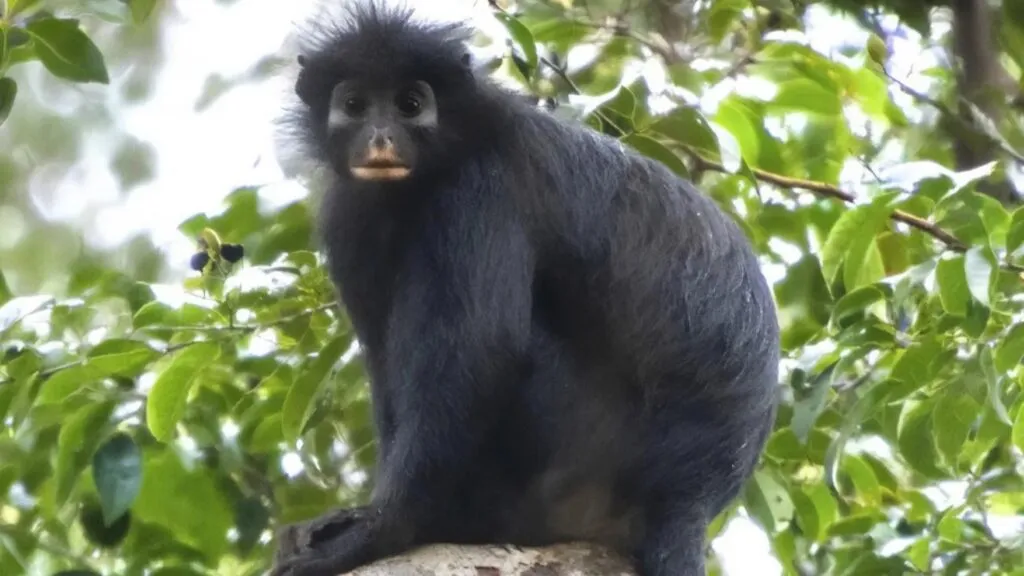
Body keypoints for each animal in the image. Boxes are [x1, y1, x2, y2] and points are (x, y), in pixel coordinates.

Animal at [271, 3, 780, 575]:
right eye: (355, 105)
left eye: (410, 105)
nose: (381, 137)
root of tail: (689, 497)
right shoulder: (349, 216)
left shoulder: (479, 189)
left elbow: (478, 352)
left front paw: (384, 529)